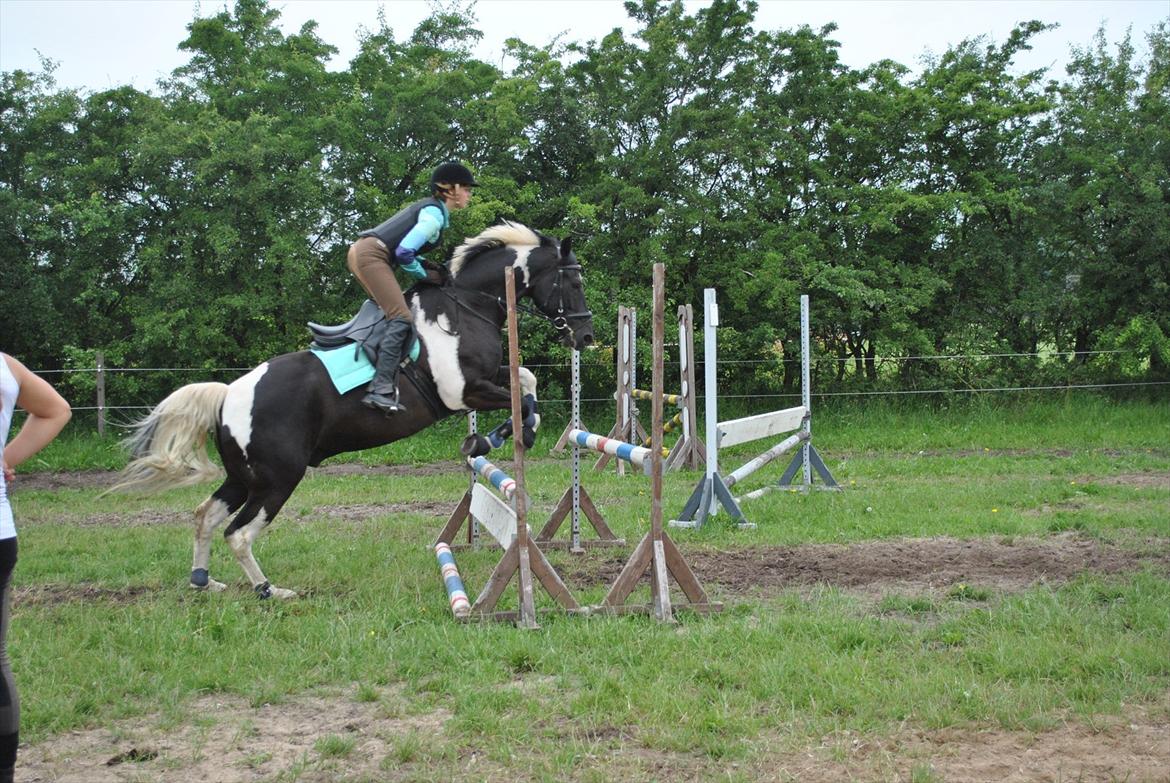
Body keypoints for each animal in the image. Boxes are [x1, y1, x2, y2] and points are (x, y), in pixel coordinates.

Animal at [109, 220, 594, 599]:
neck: (465, 305)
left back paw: (203, 580)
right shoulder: (463, 391)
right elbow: (523, 395)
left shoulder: (487, 380)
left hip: (244, 477)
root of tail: (228, 395)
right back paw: (270, 590)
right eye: (574, 283)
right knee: (239, 533)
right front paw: (507, 435)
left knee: (205, 516)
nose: (586, 337)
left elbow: (527, 380)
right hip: (278, 478)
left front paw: (495, 436)